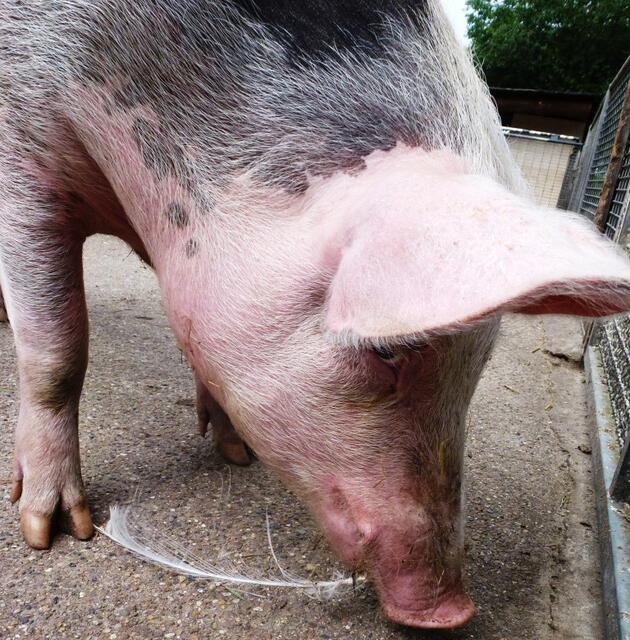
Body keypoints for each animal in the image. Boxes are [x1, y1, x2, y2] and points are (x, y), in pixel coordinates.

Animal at [1, 0, 630, 630]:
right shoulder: (24, 137)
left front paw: (235, 454)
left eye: (481, 363)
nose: (452, 610)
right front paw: (52, 530)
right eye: (387, 348)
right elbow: (59, 352)